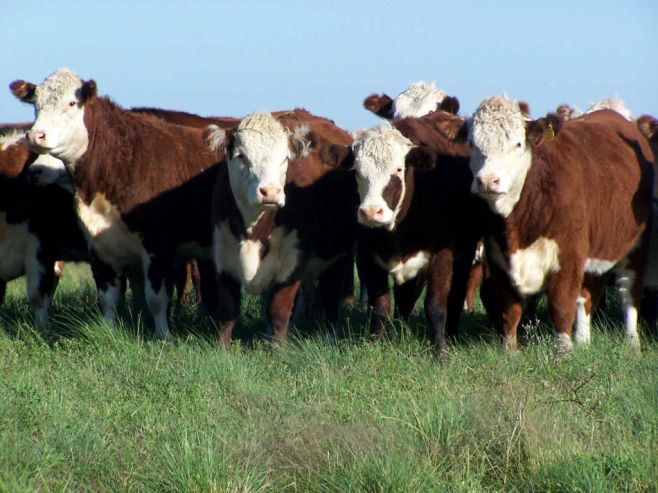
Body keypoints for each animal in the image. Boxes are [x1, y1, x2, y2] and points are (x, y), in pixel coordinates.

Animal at [9, 68, 231, 338]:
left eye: (71, 103)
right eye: (36, 104)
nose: (35, 136)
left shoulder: (158, 247)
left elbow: (156, 298)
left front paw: (163, 336)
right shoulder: (100, 248)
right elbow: (109, 298)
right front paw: (109, 331)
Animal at [206, 109, 356, 344]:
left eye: (285, 158)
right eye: (241, 156)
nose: (270, 192)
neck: (254, 231)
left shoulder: (294, 259)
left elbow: (279, 308)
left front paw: (277, 347)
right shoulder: (222, 250)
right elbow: (228, 309)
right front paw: (222, 346)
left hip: (339, 255)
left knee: (331, 296)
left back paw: (330, 334)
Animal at [318, 107, 486, 356]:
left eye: (398, 169)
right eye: (357, 172)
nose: (371, 212)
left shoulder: (441, 257)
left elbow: (436, 306)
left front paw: (441, 351)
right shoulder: (368, 258)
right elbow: (380, 307)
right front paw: (376, 344)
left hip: (465, 253)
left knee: (455, 295)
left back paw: (452, 334)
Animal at [466, 95, 652, 350]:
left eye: (517, 144)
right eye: (472, 144)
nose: (487, 180)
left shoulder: (569, 255)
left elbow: (561, 305)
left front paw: (563, 350)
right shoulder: (498, 259)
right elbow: (509, 309)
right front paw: (510, 350)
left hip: (636, 247)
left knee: (629, 294)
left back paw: (632, 344)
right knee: (587, 295)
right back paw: (583, 342)